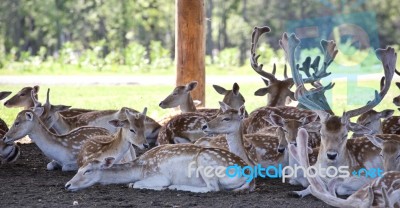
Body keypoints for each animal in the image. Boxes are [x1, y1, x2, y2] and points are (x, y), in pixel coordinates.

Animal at [64, 144, 255, 193]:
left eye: (87, 170)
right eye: (78, 169)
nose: (67, 185)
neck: (140, 168)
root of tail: (249, 175)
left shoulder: (159, 175)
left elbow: (135, 184)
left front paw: (162, 187)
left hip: (205, 161)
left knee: (213, 188)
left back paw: (175, 186)